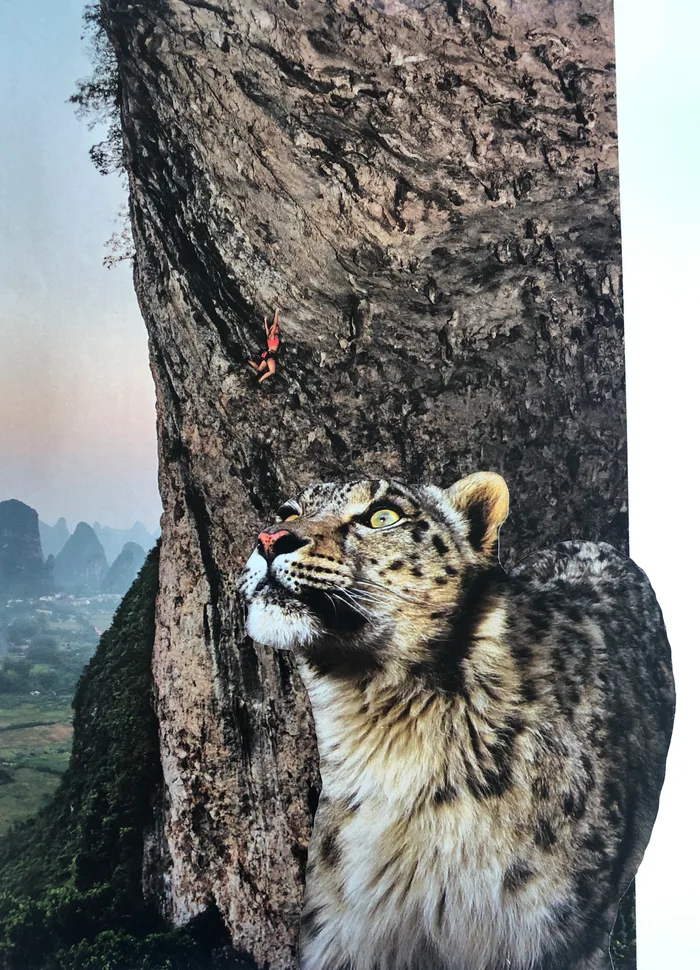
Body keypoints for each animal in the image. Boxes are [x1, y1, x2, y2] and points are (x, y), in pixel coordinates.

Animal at [237, 472, 675, 970]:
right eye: (287, 511)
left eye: (383, 516)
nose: (269, 539)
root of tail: (592, 541)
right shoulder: (345, 935)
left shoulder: (551, 937)